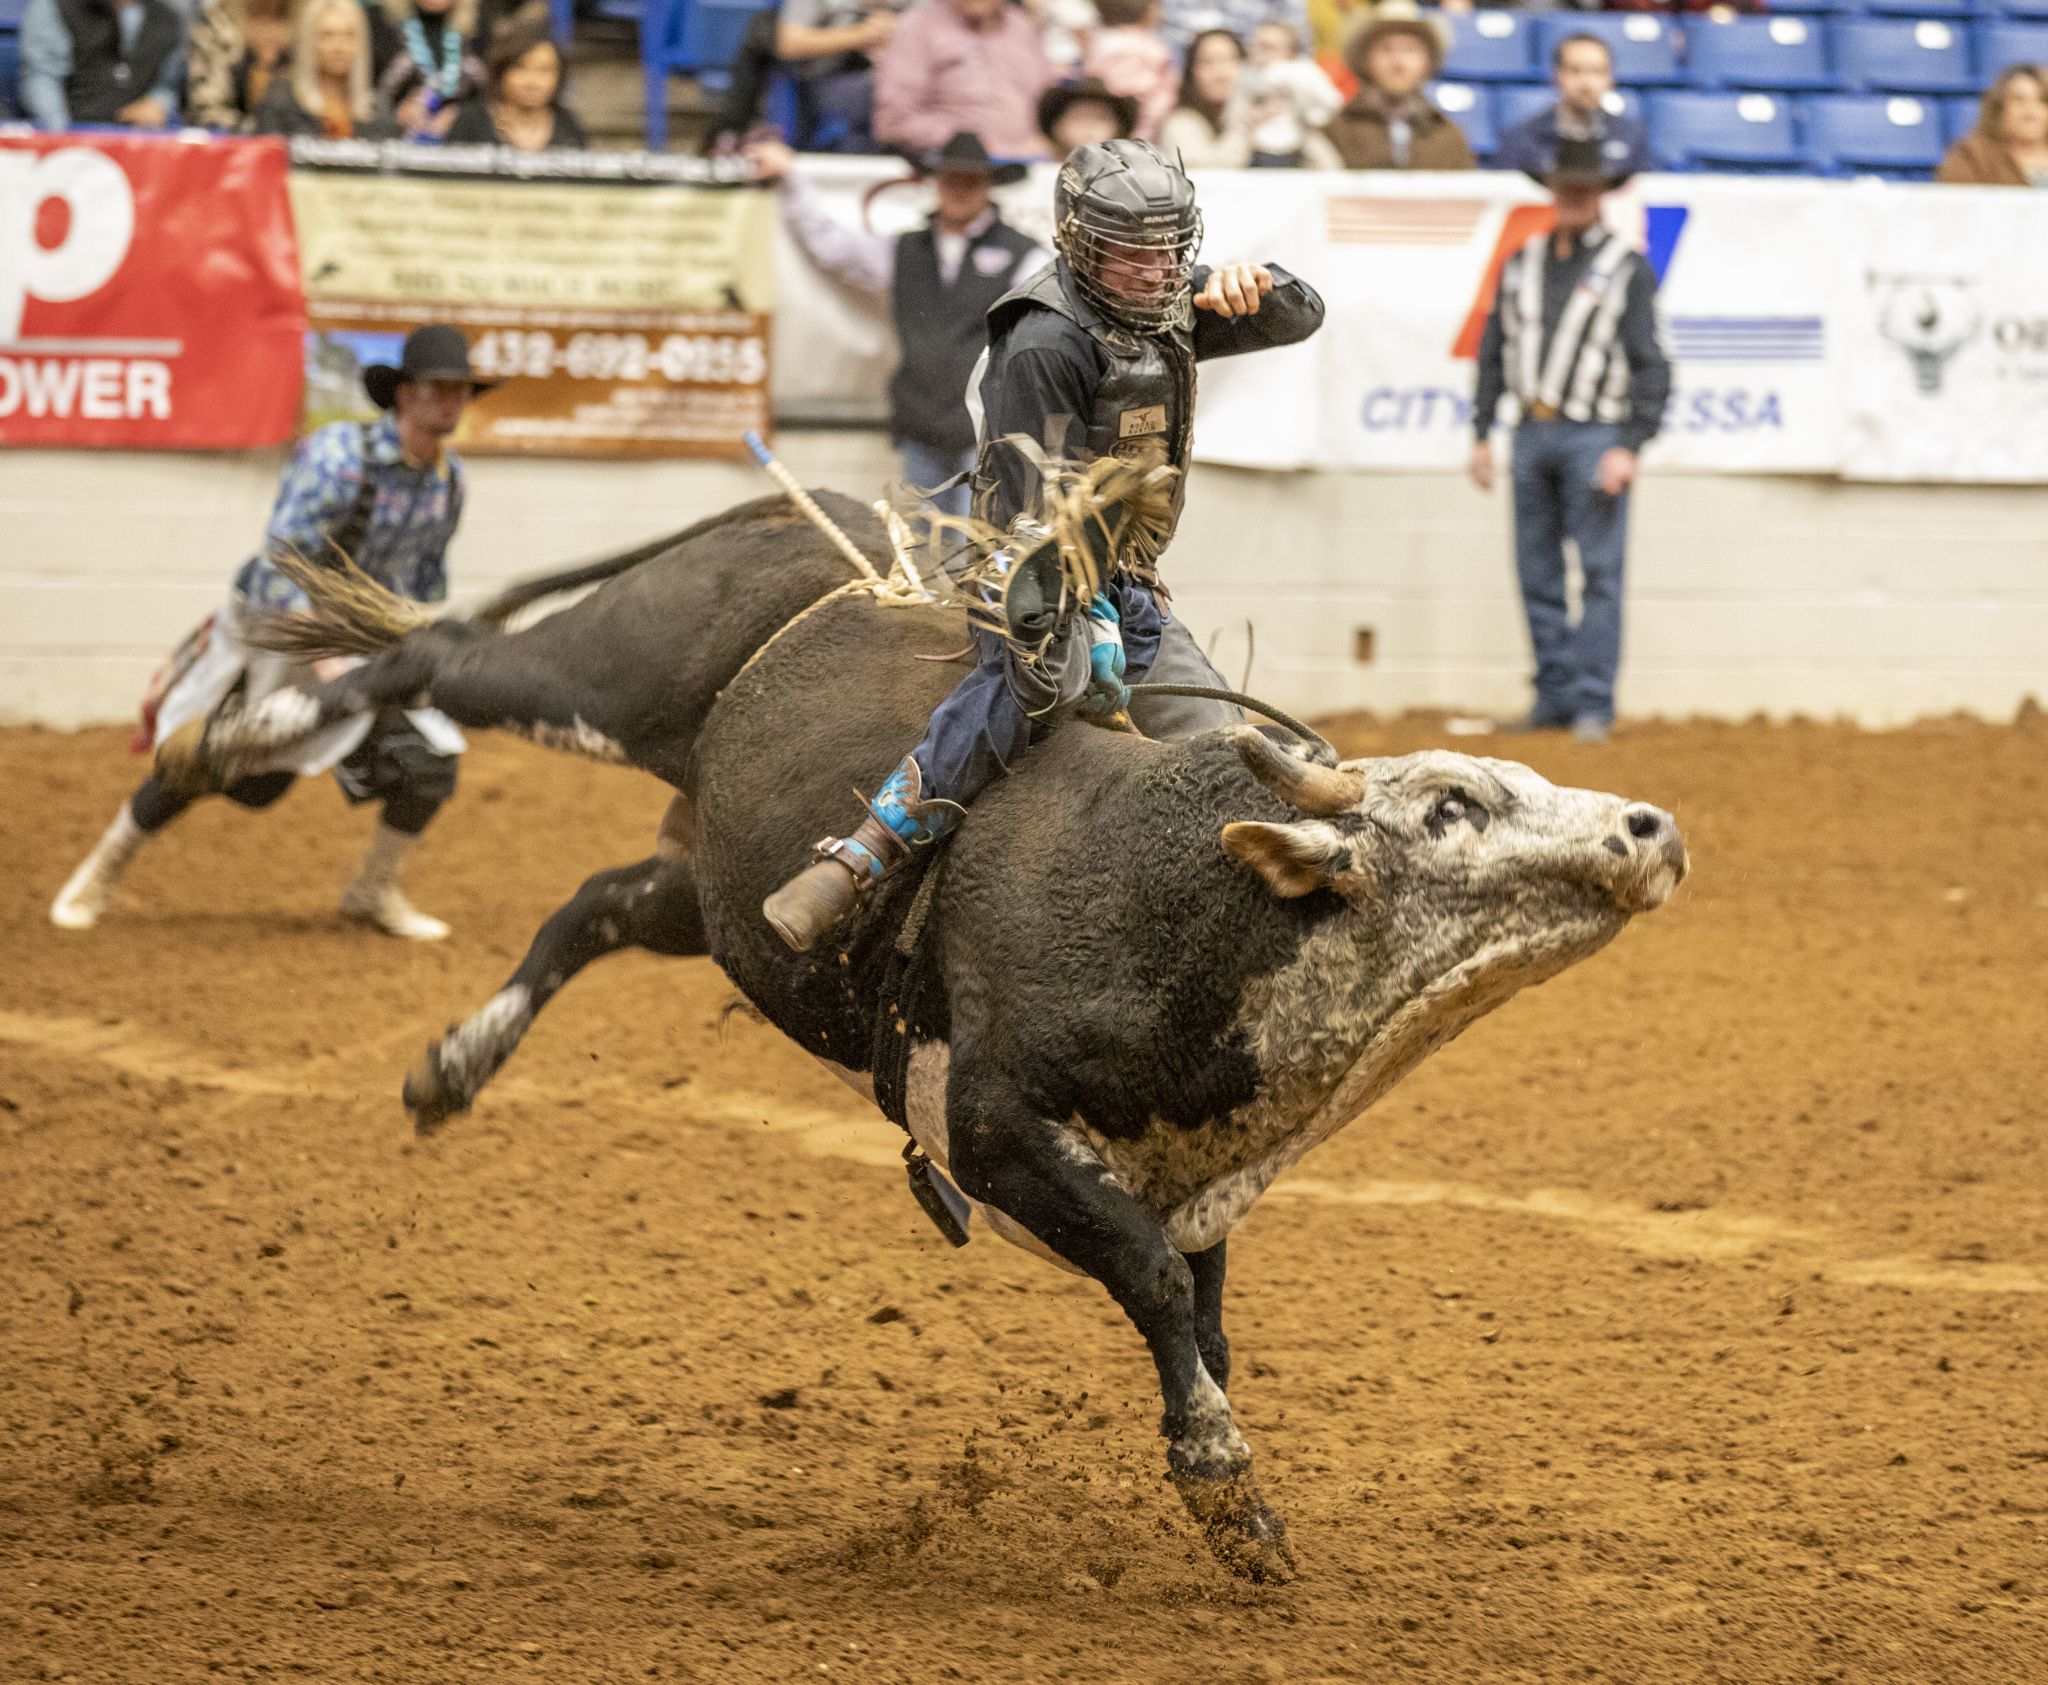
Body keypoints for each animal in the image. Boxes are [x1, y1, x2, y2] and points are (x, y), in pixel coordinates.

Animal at [163, 485, 1695, 1580]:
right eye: (1449, 805)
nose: (1648, 826)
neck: (1183, 896)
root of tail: (816, 511)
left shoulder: (1196, 1177)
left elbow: (1197, 1311)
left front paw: (1224, 1479)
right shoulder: (997, 1127)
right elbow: (1150, 1281)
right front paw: (1225, 1488)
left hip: (718, 895)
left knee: (594, 905)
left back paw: (454, 1064)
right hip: (602, 672)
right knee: (436, 653)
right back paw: (233, 736)